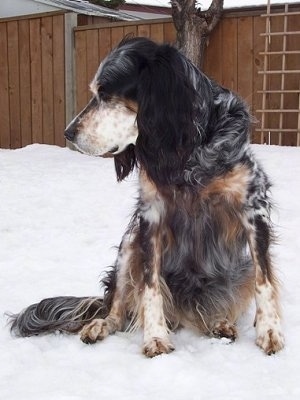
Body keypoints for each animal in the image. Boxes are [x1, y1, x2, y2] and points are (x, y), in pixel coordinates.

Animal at [9, 36, 284, 356]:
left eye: (106, 94)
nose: (68, 133)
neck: (188, 151)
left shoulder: (253, 207)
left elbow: (264, 280)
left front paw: (270, 330)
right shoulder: (151, 217)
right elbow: (150, 286)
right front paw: (155, 337)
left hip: (238, 267)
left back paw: (219, 323)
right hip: (130, 243)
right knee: (117, 310)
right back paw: (100, 325)